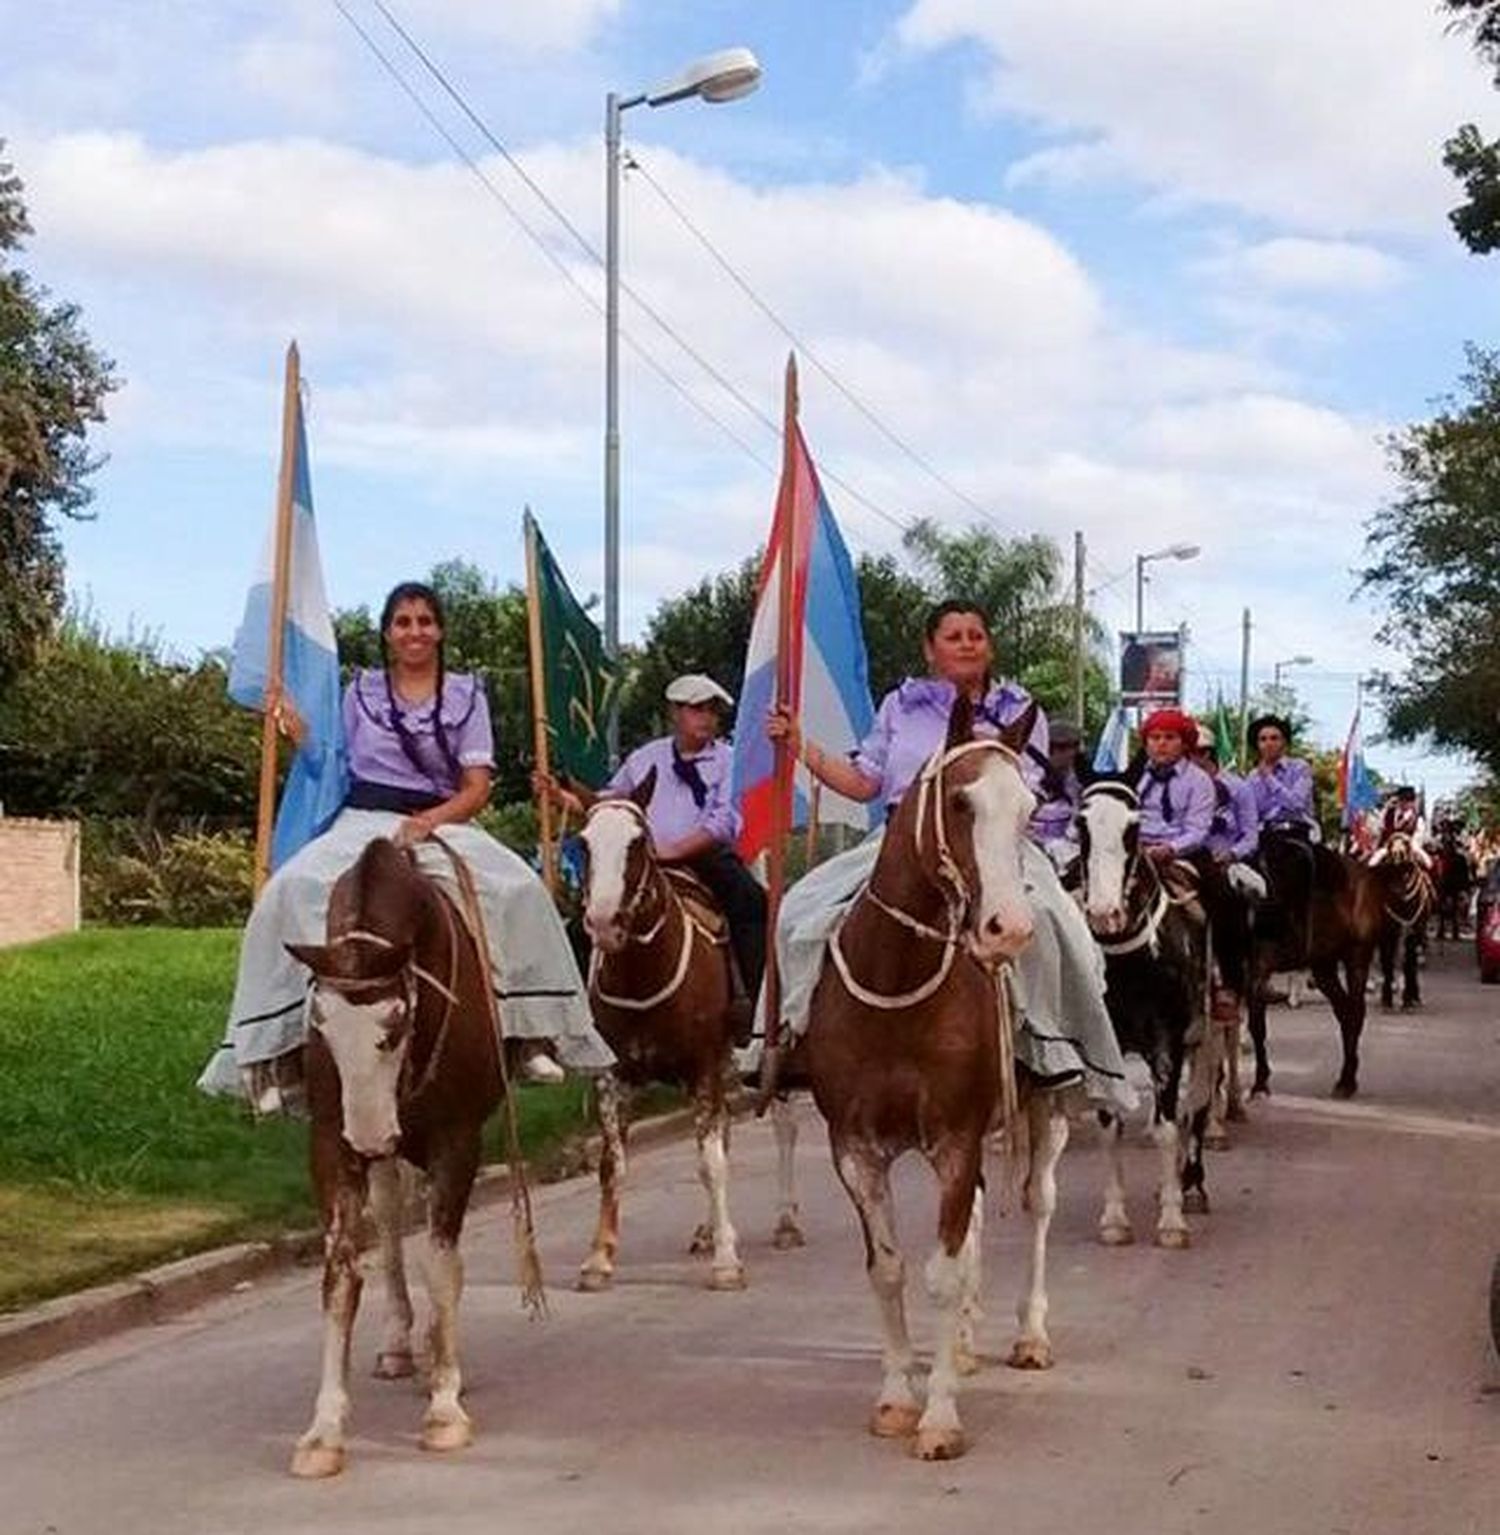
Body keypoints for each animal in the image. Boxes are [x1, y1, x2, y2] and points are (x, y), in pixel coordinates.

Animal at [284, 835, 506, 1479]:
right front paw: (323, 1432)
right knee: (389, 1216)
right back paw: (401, 1343)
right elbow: (340, 1274)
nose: (371, 1134)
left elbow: (443, 1264)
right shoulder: (329, 1142)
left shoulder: (457, 1137)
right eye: (322, 1027)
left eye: (395, 1024)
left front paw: (445, 1409)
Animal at [574, 773, 743, 1289]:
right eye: (584, 844)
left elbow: (712, 1162)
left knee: (722, 1142)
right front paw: (599, 1258)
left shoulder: (704, 1065)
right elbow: (612, 1165)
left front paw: (727, 1261)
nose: (604, 923)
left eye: (637, 842)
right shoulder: (611, 1076)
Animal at [804, 696, 1068, 1461]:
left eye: (1031, 806)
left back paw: (1027, 1334)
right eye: (959, 801)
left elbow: (943, 1275)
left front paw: (941, 1414)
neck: (898, 981)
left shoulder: (956, 1138)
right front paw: (897, 1397)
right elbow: (889, 1268)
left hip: (1046, 1110)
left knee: (1038, 1203)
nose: (1008, 929)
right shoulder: (855, 1147)